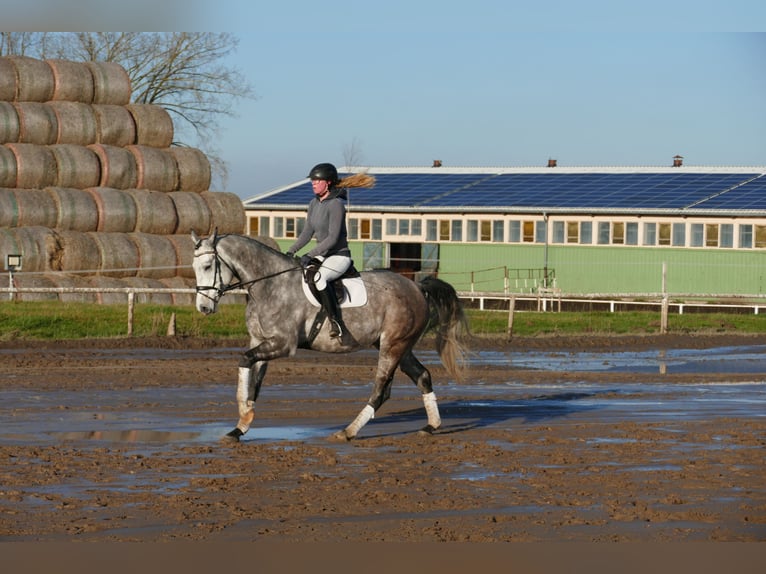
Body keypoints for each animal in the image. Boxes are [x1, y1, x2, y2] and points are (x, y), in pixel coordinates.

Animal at [190, 230, 469, 442]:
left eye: (208, 266)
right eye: (194, 268)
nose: (203, 308)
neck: (268, 285)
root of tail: (417, 286)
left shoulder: (283, 344)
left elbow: (245, 360)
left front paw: (244, 414)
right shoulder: (261, 342)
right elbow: (253, 382)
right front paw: (240, 426)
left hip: (393, 346)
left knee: (381, 389)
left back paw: (348, 431)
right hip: (400, 346)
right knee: (422, 376)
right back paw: (431, 426)